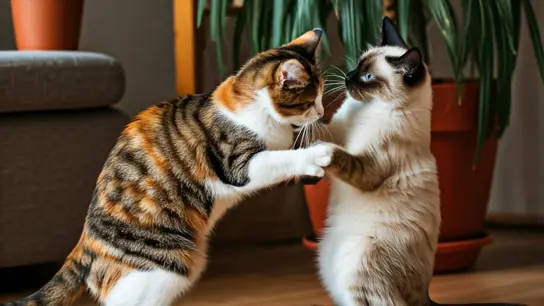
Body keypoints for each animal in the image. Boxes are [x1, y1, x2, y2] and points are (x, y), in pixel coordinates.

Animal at [2, 28, 334, 306]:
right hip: (163, 267)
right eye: (309, 101)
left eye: (320, 97)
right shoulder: (237, 163)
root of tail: (86, 243)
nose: (321, 112)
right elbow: (277, 159)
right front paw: (316, 155)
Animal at [316, 18, 524, 306]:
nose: (347, 77)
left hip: (357, 263)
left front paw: (322, 152)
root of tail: (426, 294)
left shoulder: (369, 166)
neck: (369, 109)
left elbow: (341, 155)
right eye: (357, 66)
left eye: (368, 77)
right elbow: (316, 129)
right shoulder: (336, 129)